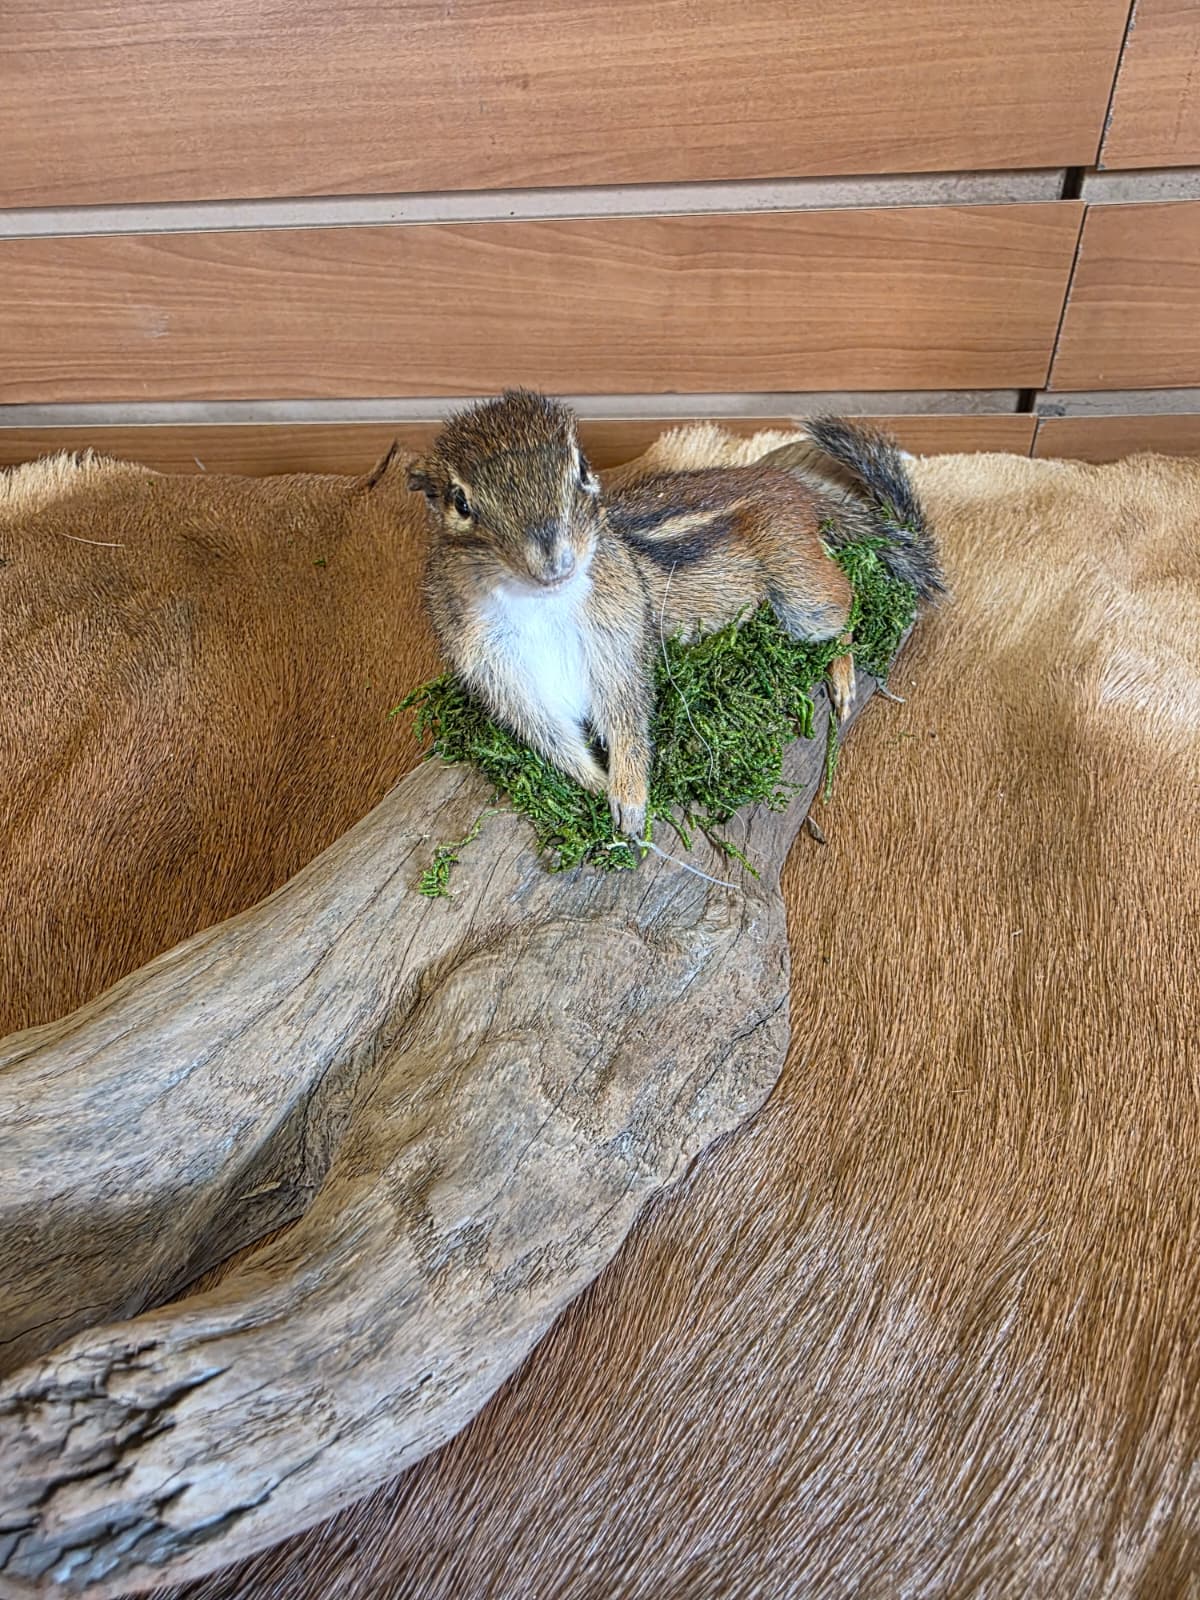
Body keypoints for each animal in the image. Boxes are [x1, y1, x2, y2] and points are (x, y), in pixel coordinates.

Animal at [409, 391, 943, 843]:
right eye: (460, 502)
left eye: (581, 469)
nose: (555, 562)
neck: (539, 604)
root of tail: (791, 487)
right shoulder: (500, 674)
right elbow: (549, 735)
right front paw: (593, 783)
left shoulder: (618, 639)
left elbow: (628, 715)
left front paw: (628, 797)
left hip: (797, 583)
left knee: (844, 599)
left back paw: (842, 673)